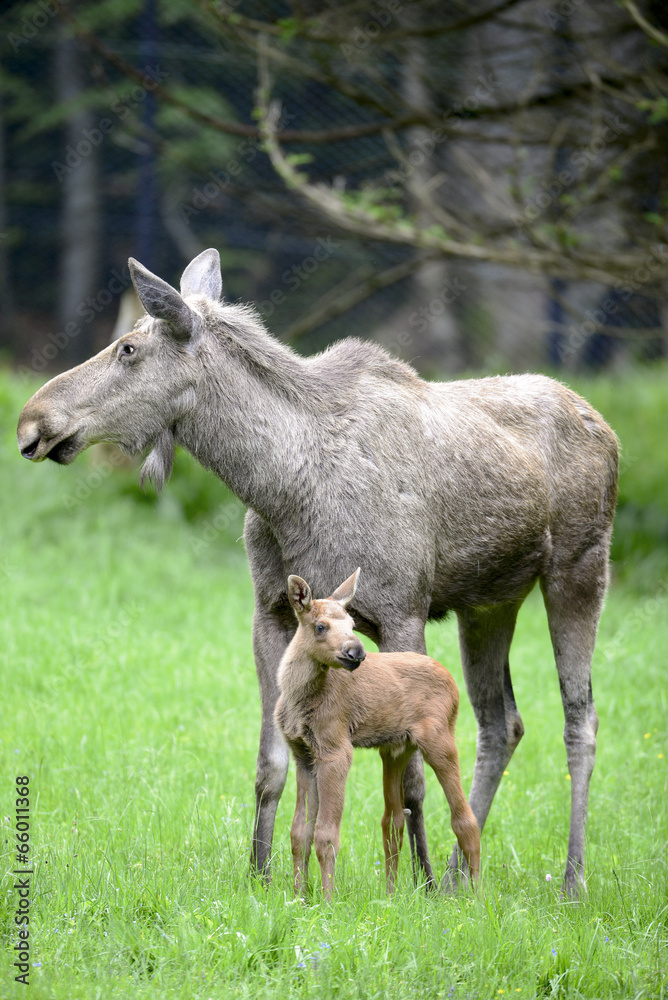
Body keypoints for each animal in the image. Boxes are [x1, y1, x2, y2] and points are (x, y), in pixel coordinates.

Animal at [276, 568, 480, 904]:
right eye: (320, 626)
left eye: (353, 624)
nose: (356, 652)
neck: (297, 697)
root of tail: (454, 684)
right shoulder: (303, 754)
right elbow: (298, 833)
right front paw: (298, 898)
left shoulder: (336, 748)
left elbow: (326, 834)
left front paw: (328, 902)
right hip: (397, 748)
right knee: (393, 821)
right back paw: (391, 895)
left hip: (439, 738)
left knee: (465, 818)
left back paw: (477, 897)